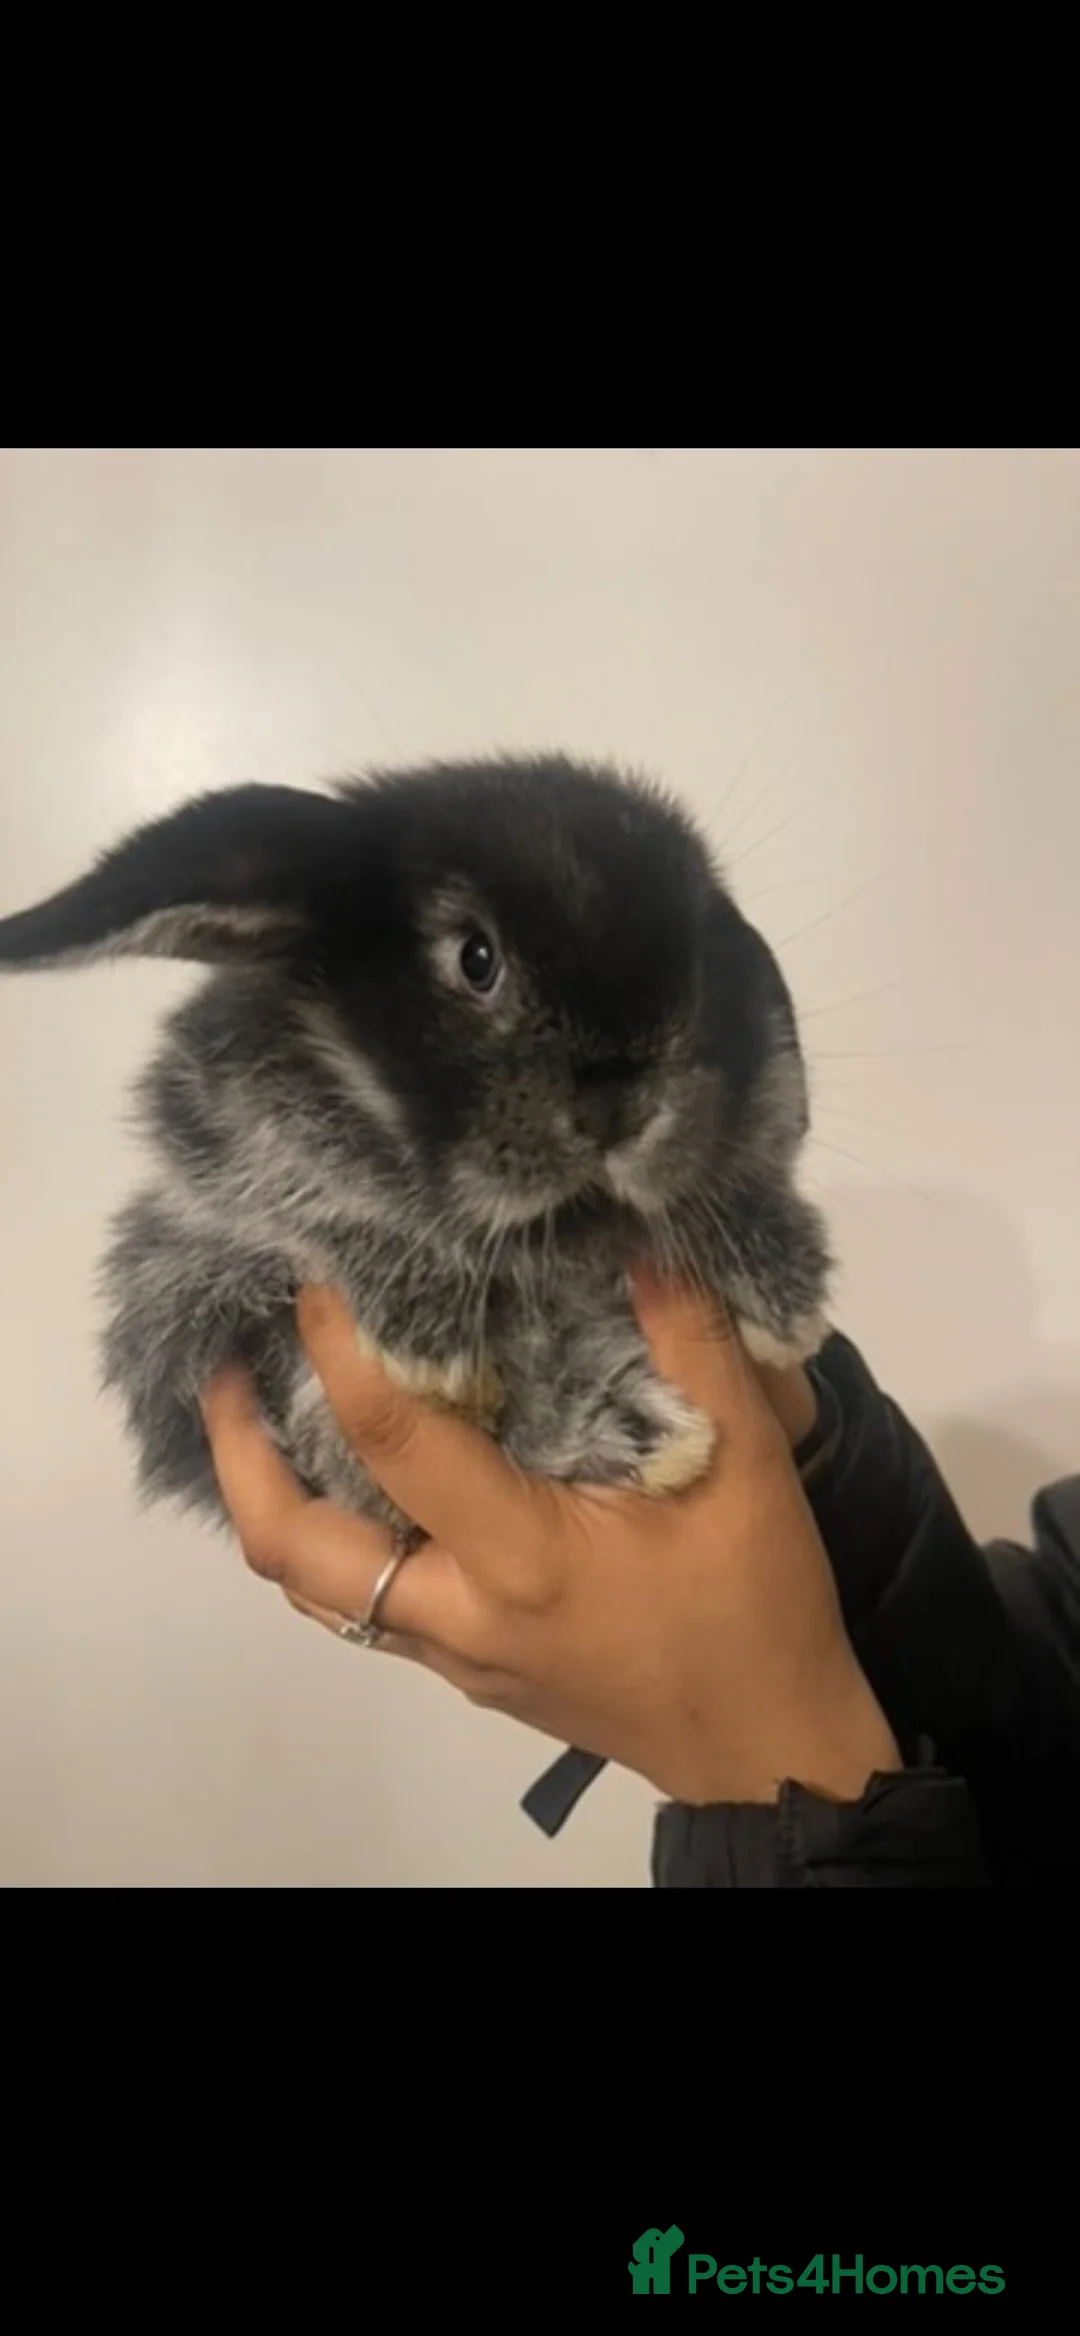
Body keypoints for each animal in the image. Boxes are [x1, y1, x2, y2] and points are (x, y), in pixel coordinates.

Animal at [0, 755, 831, 1546]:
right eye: (476, 958)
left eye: (698, 956)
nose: (619, 1106)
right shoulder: (219, 1163)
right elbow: (323, 1207)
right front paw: (433, 1347)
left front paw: (789, 1301)